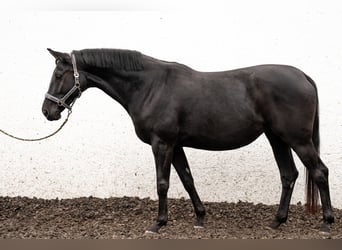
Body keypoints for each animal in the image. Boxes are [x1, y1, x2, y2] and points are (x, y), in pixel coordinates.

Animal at [42, 48, 334, 234]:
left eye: (58, 75)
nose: (48, 111)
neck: (150, 86)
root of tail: (303, 76)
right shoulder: (176, 145)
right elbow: (187, 179)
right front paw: (200, 218)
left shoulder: (162, 143)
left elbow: (162, 183)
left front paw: (158, 224)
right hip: (277, 138)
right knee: (289, 174)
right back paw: (277, 221)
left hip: (297, 139)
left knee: (319, 171)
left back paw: (326, 222)